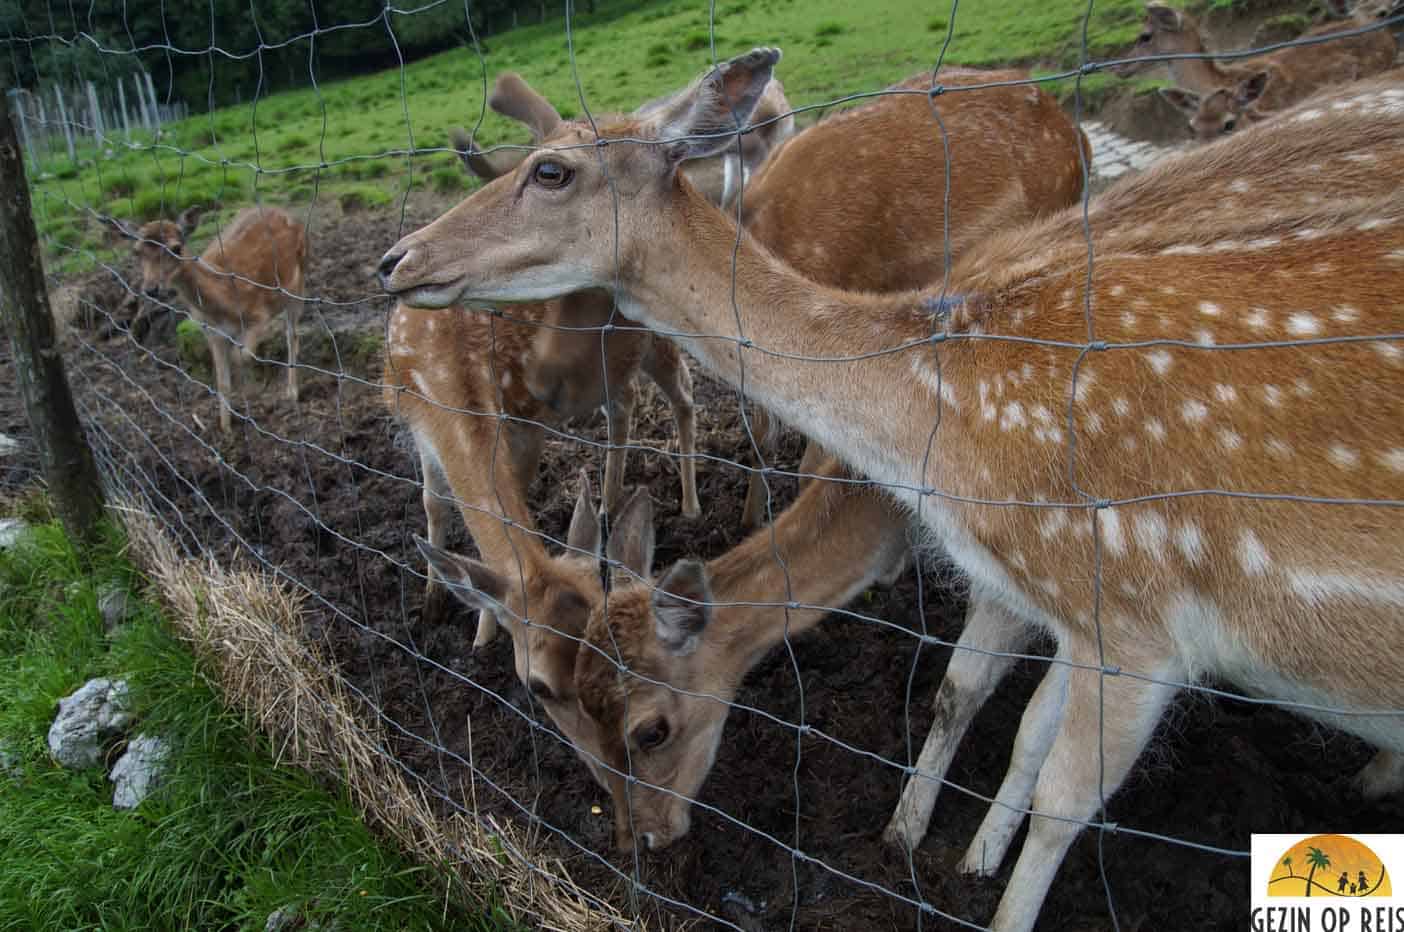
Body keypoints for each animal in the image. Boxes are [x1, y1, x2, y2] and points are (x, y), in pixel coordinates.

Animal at [113, 206, 306, 432]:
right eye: (136, 251)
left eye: (176, 248)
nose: (151, 289)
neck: (223, 301)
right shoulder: (211, 332)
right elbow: (222, 382)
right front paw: (226, 428)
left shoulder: (259, 316)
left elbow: (241, 356)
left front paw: (250, 393)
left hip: (298, 284)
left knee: (292, 335)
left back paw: (292, 393)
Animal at [379, 49, 1404, 931]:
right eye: (549, 695)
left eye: (650, 730)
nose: (394, 260)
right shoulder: (1037, 596)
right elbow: (986, 705)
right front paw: (926, 846)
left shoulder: (1136, 619)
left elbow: (1062, 801)